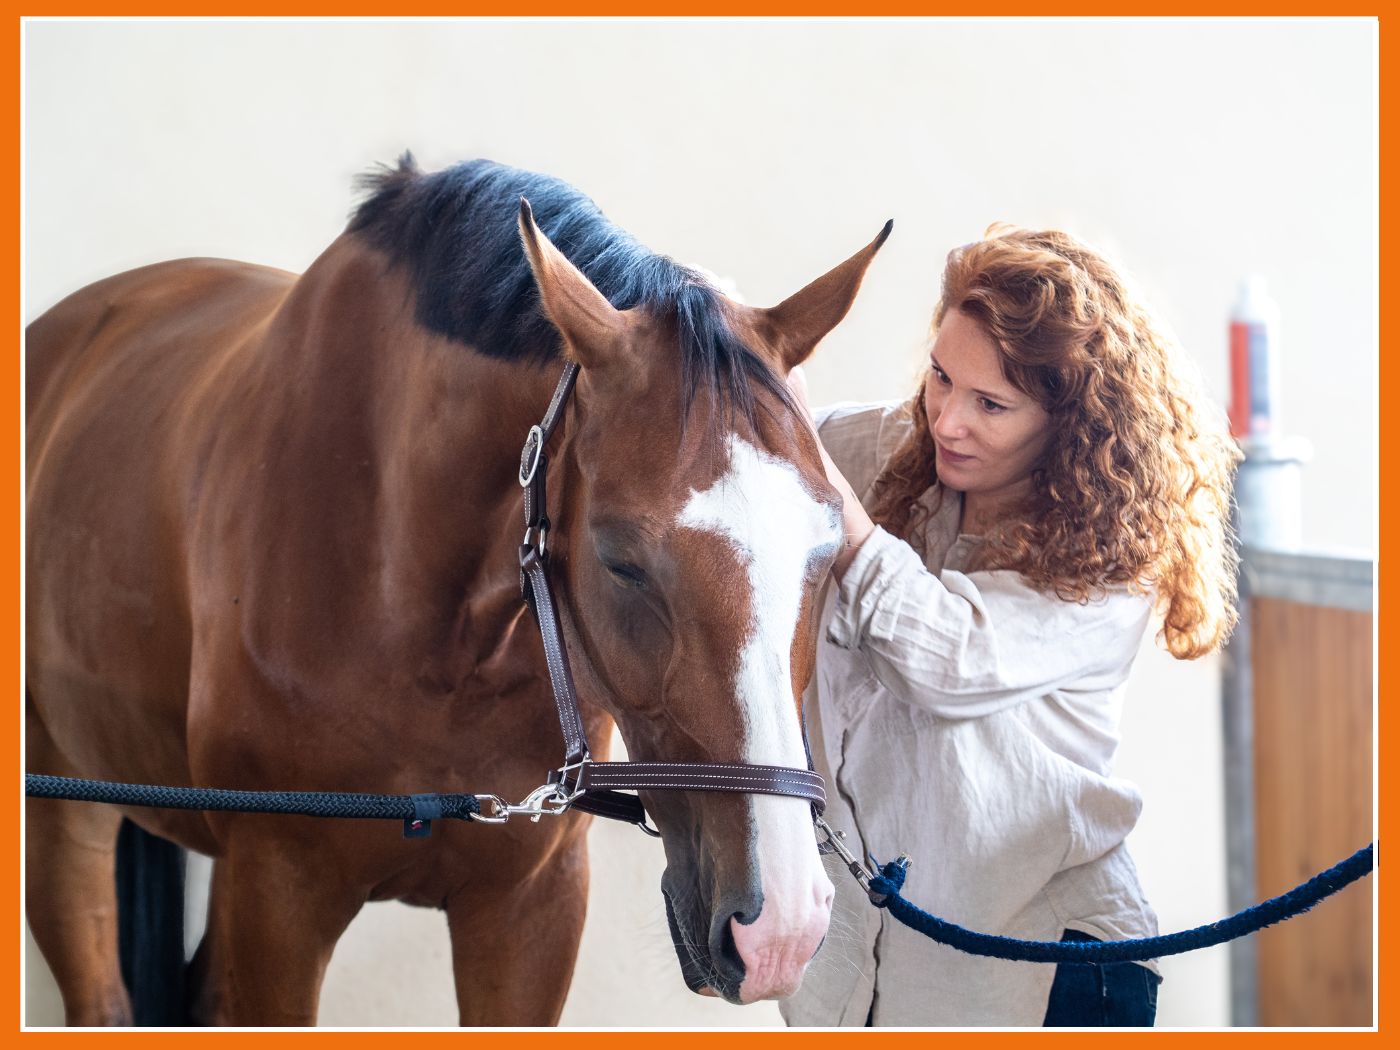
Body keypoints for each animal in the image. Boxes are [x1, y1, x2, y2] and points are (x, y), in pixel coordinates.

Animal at [24, 154, 889, 1026]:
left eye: (828, 549)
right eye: (620, 559)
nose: (781, 931)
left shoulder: (529, 907)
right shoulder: (278, 895)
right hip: (63, 817)